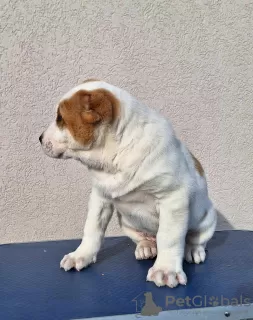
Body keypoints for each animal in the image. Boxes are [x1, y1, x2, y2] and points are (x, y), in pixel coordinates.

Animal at [40, 79, 217, 288]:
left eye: (60, 118)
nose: (40, 138)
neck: (115, 157)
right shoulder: (100, 198)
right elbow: (92, 229)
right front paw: (81, 255)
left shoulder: (172, 198)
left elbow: (169, 237)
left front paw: (166, 270)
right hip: (127, 224)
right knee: (145, 239)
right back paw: (147, 246)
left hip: (207, 219)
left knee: (195, 239)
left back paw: (193, 250)